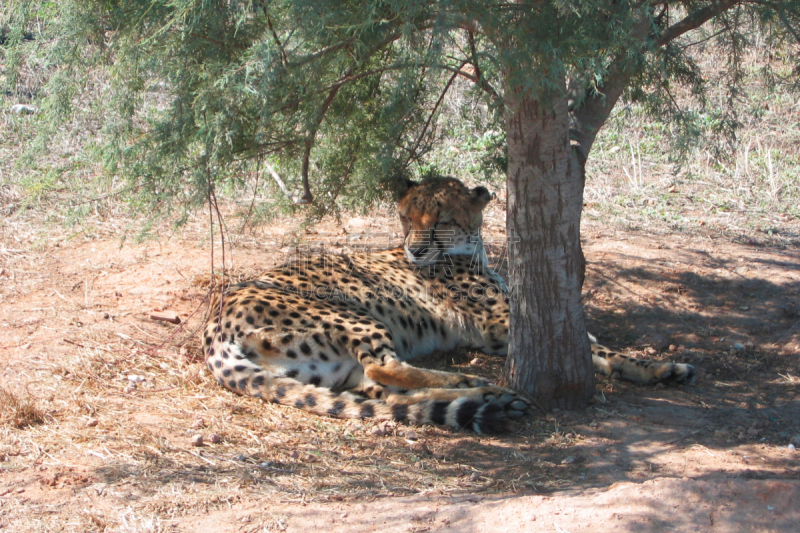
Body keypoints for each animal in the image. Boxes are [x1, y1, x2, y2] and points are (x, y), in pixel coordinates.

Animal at [203, 177, 696, 430]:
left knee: (383, 389)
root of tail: (213, 326)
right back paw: (474, 383)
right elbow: (598, 346)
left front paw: (661, 369)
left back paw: (487, 397)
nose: (416, 250)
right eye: (406, 217)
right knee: (386, 368)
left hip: (332, 368)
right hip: (352, 313)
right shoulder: (501, 325)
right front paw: (657, 366)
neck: (469, 249)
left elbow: (596, 346)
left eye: (441, 220)